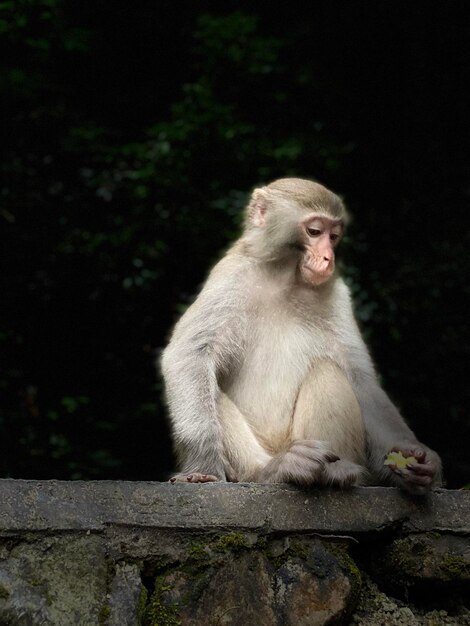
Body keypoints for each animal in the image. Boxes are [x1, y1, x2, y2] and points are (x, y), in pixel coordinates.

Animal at [160, 176, 442, 492]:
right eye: (314, 231)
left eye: (334, 236)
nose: (328, 257)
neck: (285, 278)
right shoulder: (231, 276)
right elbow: (191, 353)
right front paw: (203, 467)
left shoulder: (337, 294)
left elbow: (360, 379)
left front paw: (418, 460)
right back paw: (271, 470)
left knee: (328, 371)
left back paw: (336, 471)